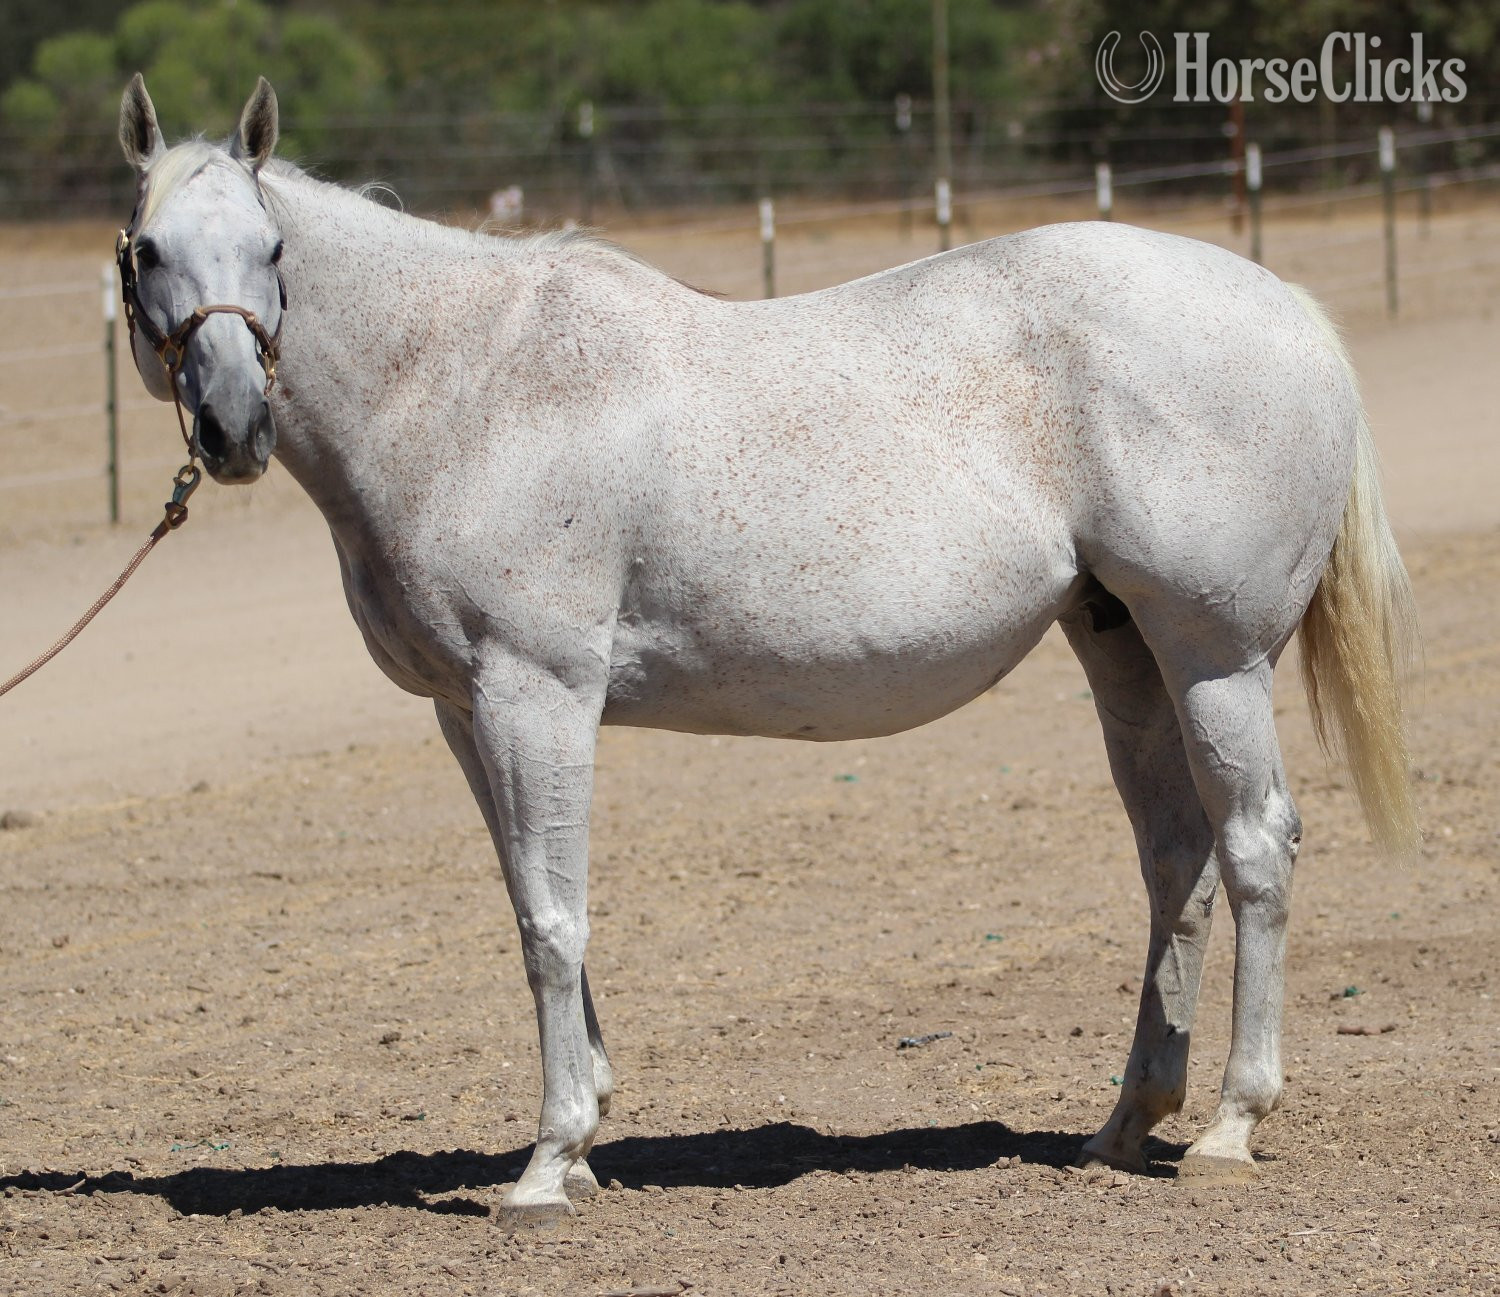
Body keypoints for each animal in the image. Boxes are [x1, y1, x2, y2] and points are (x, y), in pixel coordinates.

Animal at [114, 75, 1417, 1223]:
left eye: (274, 249)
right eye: (146, 252)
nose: (231, 426)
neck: (466, 381)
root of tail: (1286, 306)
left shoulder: (537, 694)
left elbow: (553, 920)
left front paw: (544, 1168)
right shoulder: (465, 709)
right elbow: (533, 900)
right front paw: (586, 1139)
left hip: (1214, 661)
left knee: (1255, 849)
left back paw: (1230, 1127)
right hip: (1125, 652)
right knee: (1174, 861)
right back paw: (1127, 1121)